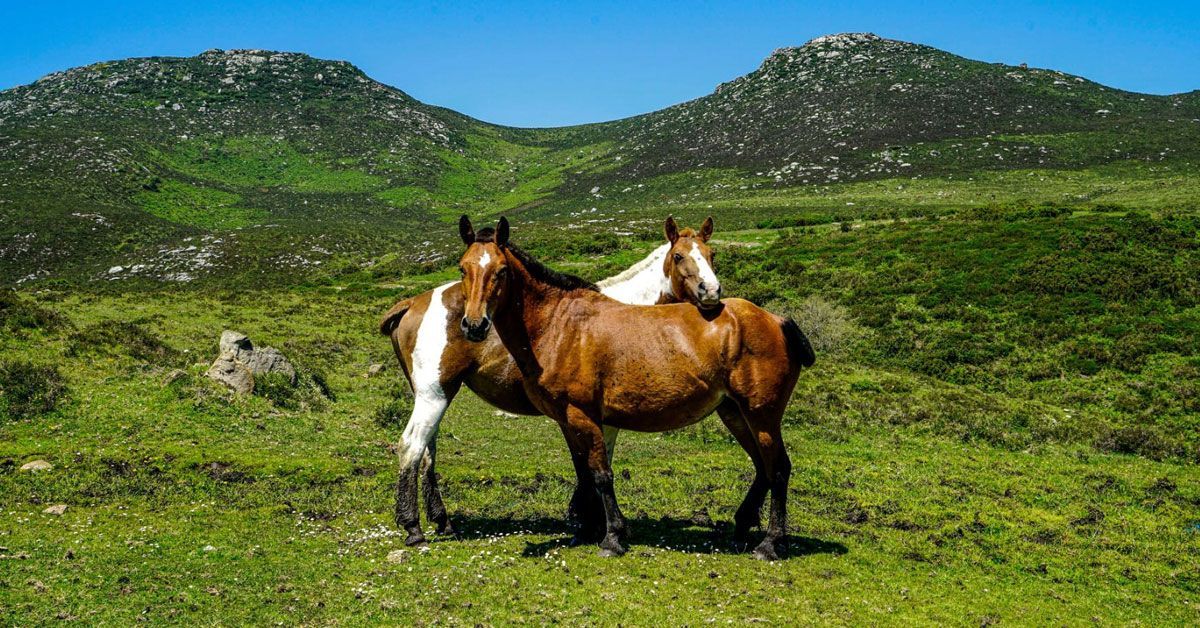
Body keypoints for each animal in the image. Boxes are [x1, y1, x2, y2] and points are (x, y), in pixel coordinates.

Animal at [379, 214, 720, 545]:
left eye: (710, 254)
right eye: (678, 256)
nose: (711, 292)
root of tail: (413, 303)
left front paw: (587, 522)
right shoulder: (600, 417)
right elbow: (597, 465)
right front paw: (599, 525)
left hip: (436, 396)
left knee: (427, 452)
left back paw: (442, 522)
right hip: (433, 395)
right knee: (412, 446)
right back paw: (413, 527)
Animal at [456, 216, 816, 559]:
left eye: (501, 271)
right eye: (463, 268)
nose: (474, 326)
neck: (560, 325)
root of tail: (777, 320)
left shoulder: (585, 416)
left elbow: (601, 475)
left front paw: (613, 537)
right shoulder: (567, 420)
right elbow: (584, 474)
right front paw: (585, 530)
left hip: (762, 415)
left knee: (778, 468)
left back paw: (771, 544)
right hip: (735, 414)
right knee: (762, 466)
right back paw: (742, 528)